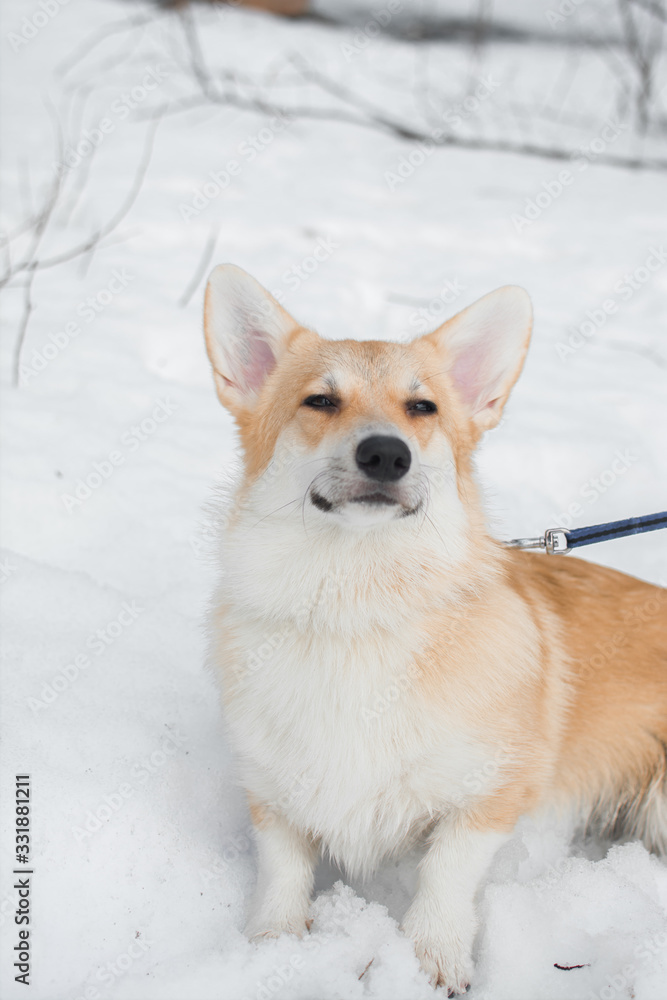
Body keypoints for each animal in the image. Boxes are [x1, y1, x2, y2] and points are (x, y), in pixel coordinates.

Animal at [204, 264, 667, 992]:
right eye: (320, 401)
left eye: (421, 409)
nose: (384, 455)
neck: (356, 605)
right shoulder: (272, 790)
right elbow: (283, 868)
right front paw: (272, 948)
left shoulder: (490, 794)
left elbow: (445, 874)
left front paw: (430, 960)